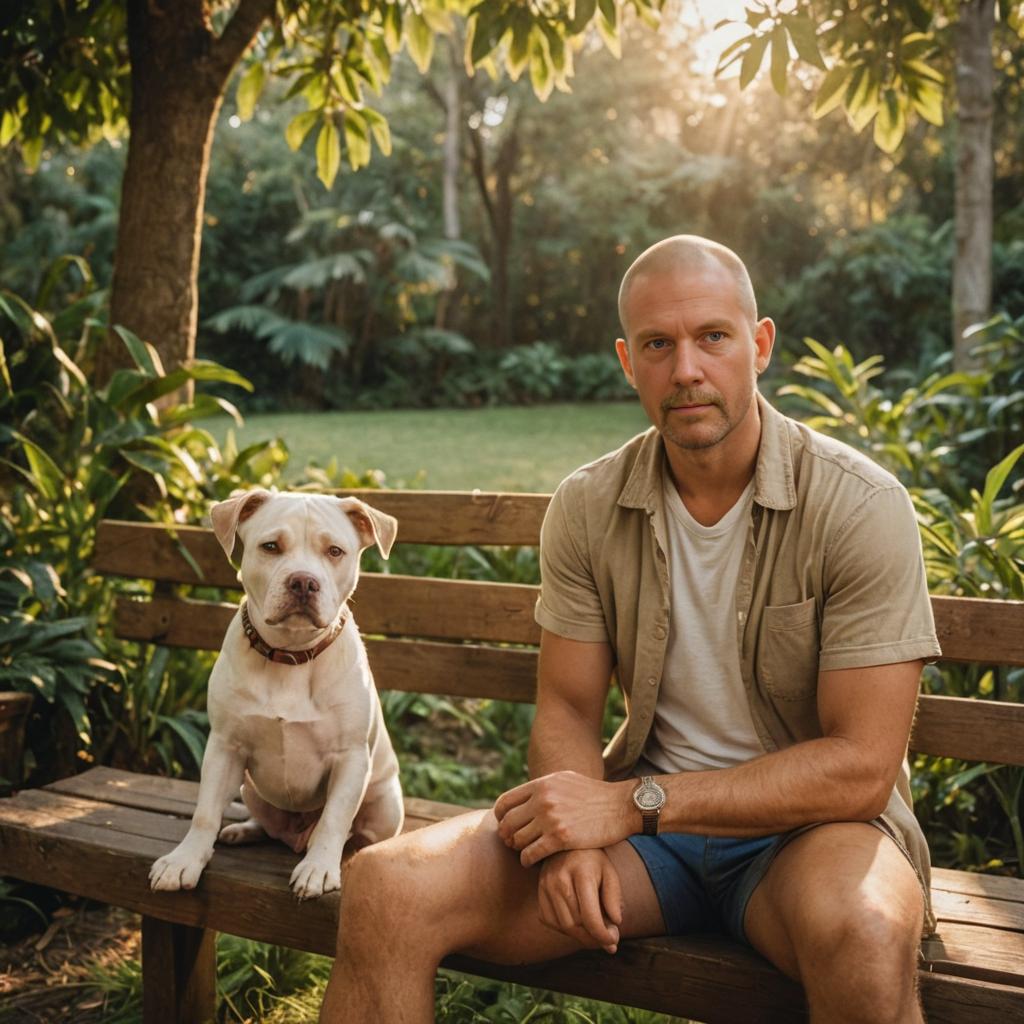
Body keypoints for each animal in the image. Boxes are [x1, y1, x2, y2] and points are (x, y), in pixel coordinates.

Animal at [148, 491, 403, 901]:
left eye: (335, 551)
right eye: (270, 546)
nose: (303, 581)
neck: (291, 656)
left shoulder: (350, 758)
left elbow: (334, 818)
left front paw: (319, 868)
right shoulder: (224, 746)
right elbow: (205, 810)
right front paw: (185, 859)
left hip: (386, 807)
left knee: (354, 832)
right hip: (250, 788)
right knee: (266, 823)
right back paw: (245, 830)